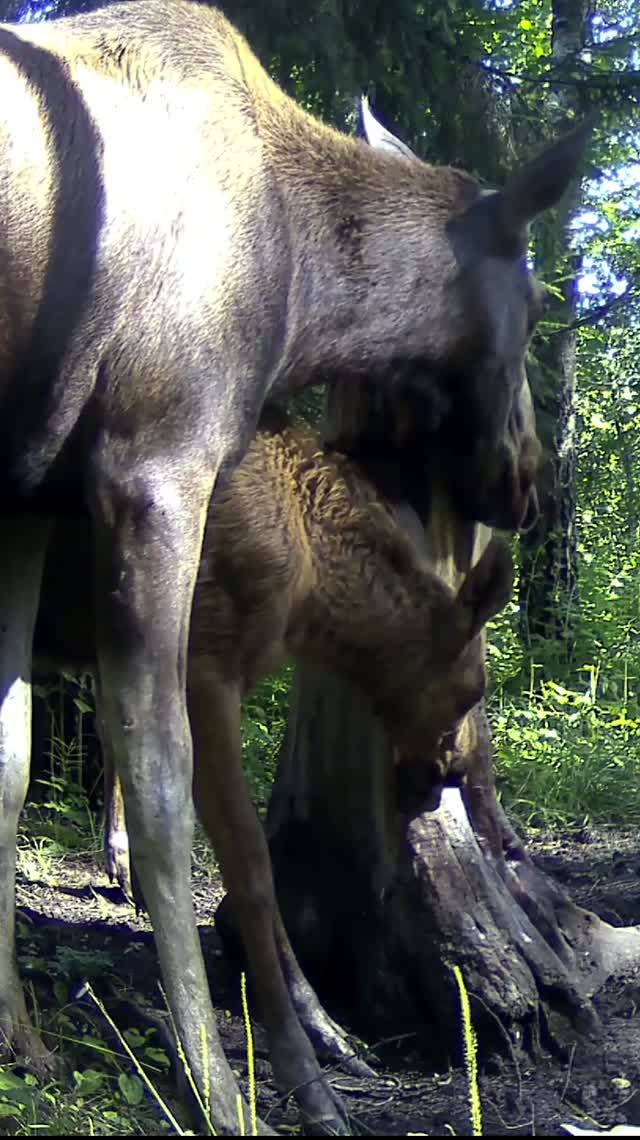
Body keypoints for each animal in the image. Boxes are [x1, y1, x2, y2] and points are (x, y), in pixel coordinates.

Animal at [0, 0, 591, 1130]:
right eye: (540, 304)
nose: (534, 485)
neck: (300, 302)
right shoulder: (156, 471)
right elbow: (178, 808)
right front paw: (233, 1082)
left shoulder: (24, 503)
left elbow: (9, 769)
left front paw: (26, 1045)